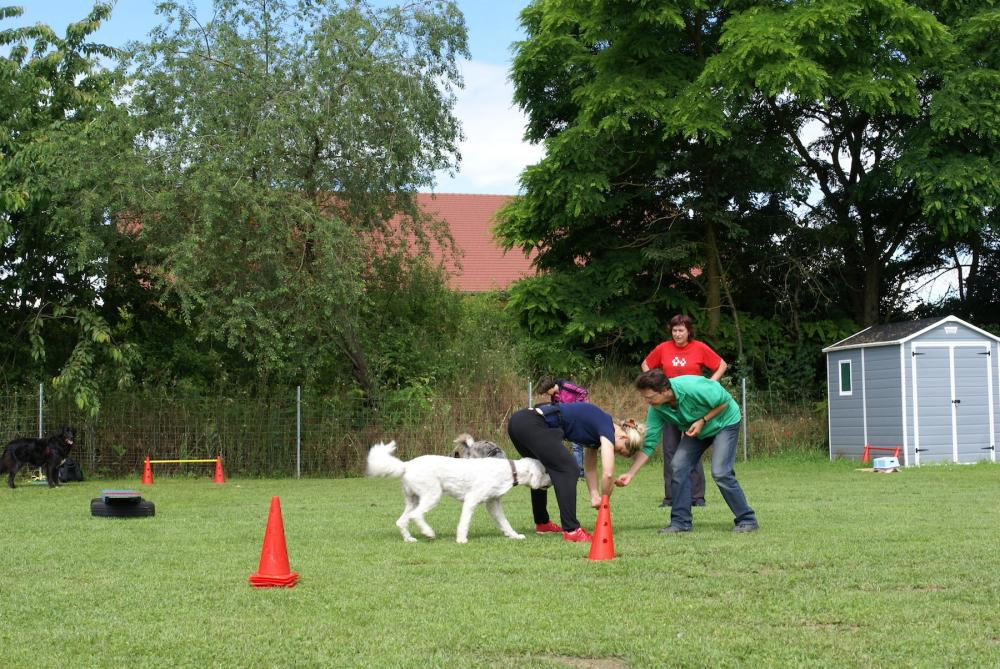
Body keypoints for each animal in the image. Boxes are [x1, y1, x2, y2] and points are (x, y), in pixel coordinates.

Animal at [366, 441, 550, 543]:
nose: (551, 482)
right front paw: (461, 540)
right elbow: (464, 523)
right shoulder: (471, 500)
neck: (510, 471)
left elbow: (505, 523)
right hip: (432, 496)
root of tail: (406, 465)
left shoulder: (493, 504)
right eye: (545, 472)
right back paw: (428, 533)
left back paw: (409, 539)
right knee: (416, 516)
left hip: (414, 500)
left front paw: (514, 536)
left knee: (401, 521)